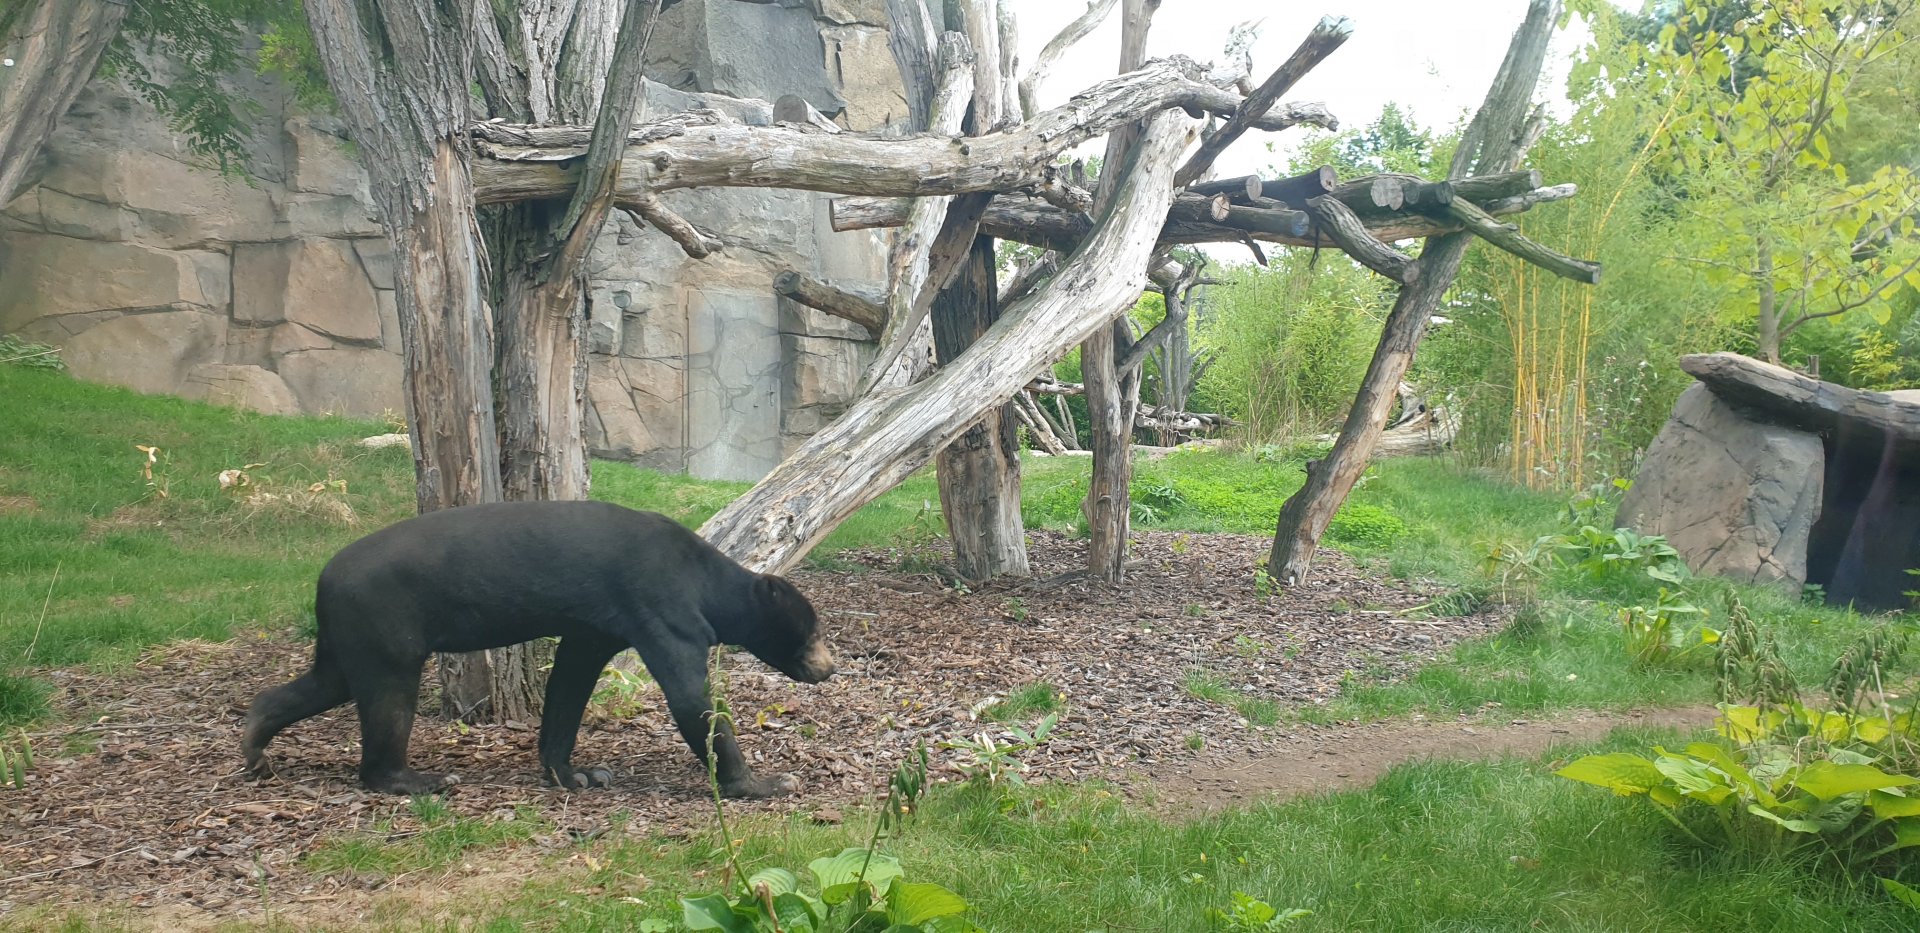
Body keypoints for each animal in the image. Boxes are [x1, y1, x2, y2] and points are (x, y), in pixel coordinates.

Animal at [241, 499, 835, 798]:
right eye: (813, 632)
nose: (828, 668)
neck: (708, 581)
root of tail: (323, 581)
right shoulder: (661, 608)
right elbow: (692, 702)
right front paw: (766, 782)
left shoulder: (596, 628)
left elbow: (568, 686)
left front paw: (576, 774)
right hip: (387, 628)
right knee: (388, 701)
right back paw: (420, 780)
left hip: (353, 634)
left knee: (325, 682)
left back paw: (254, 743)